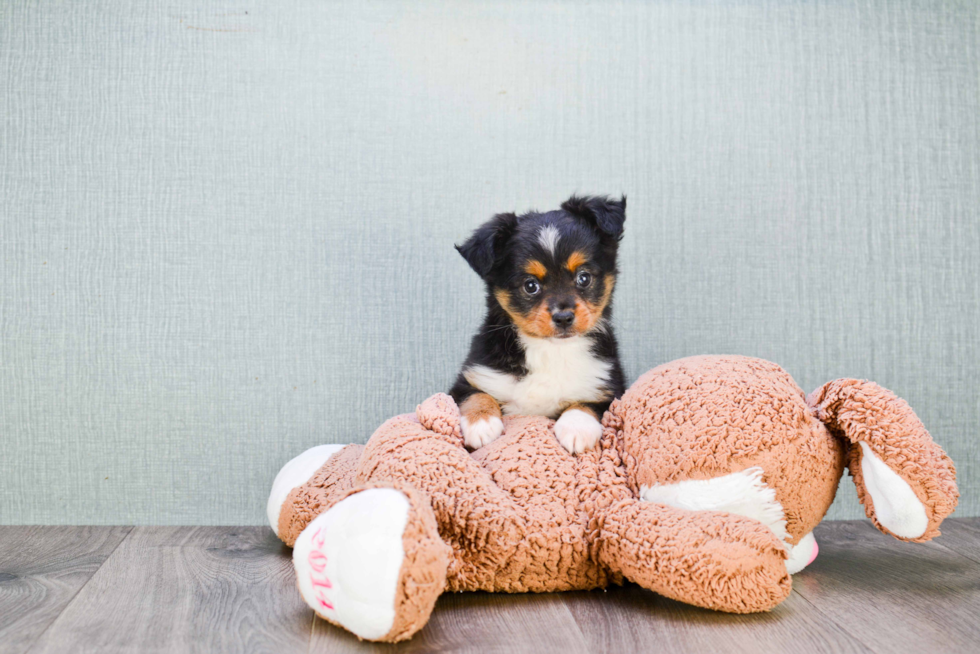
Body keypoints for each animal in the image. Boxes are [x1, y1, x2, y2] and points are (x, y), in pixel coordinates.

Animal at [452, 193, 628, 456]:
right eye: (530, 285)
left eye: (584, 277)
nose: (563, 317)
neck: (551, 350)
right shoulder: (471, 377)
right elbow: (475, 394)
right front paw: (481, 423)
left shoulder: (610, 387)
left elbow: (588, 404)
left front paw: (576, 428)